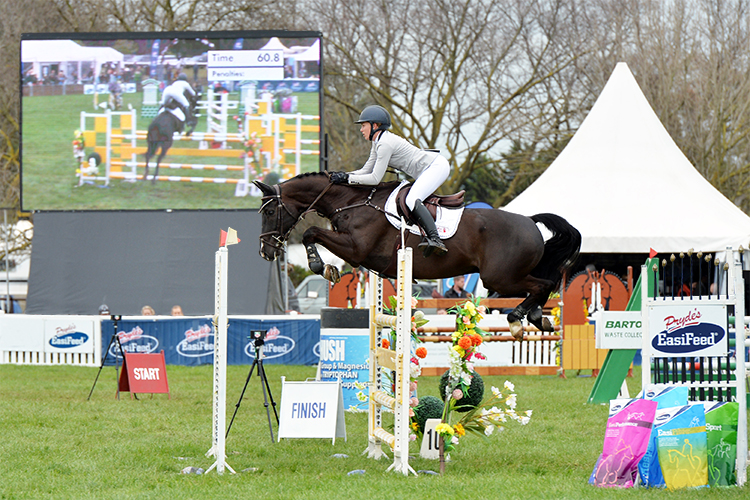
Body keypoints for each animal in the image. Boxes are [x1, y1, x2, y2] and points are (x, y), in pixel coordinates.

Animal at [256, 173, 584, 340]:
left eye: (270, 212)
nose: (265, 251)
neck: (351, 202)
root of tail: (530, 221)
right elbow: (313, 235)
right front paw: (327, 268)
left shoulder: (356, 249)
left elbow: (311, 233)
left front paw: (319, 266)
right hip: (504, 278)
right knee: (543, 285)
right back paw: (537, 318)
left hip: (499, 278)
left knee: (543, 285)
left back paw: (518, 319)